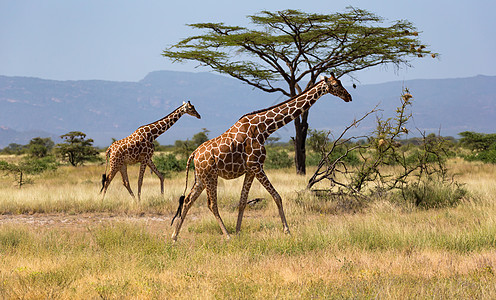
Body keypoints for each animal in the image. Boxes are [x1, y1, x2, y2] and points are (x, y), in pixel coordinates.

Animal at [171, 73, 352, 241]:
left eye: (340, 82)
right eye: (336, 85)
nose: (349, 97)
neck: (264, 129)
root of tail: (193, 154)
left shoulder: (251, 170)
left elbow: (243, 201)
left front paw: (238, 231)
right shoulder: (257, 166)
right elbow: (277, 196)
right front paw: (287, 231)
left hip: (201, 177)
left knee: (188, 200)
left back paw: (174, 236)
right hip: (210, 176)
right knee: (211, 204)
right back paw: (226, 235)